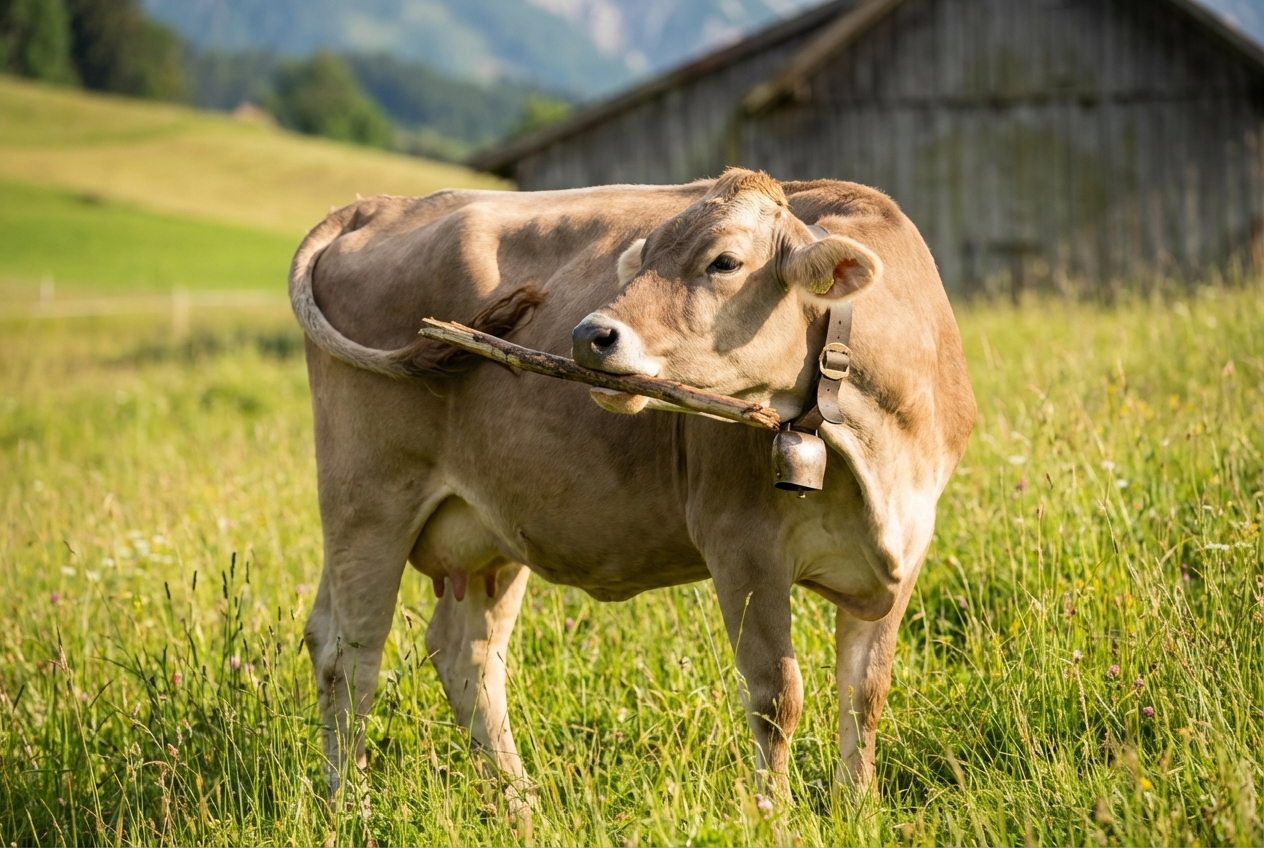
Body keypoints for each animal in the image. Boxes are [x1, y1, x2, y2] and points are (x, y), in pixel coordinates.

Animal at [288, 169, 975, 819]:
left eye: (725, 262)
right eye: (644, 257)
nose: (588, 334)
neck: (874, 446)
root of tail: (380, 204)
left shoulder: (906, 546)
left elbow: (865, 691)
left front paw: (858, 812)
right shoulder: (741, 543)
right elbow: (776, 696)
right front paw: (774, 819)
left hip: (485, 526)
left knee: (465, 657)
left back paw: (521, 810)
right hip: (367, 501)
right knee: (348, 656)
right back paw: (351, 809)